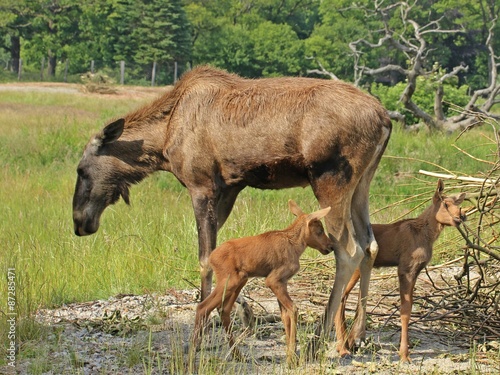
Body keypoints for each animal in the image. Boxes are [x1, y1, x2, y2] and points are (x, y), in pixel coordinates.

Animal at [193, 201, 334, 366]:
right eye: (320, 230)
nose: (330, 246)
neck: (297, 246)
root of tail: (211, 258)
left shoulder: (282, 282)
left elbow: (285, 316)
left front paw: (289, 355)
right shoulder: (273, 279)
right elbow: (293, 309)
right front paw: (291, 359)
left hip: (240, 279)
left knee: (223, 310)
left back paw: (238, 355)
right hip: (230, 280)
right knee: (203, 307)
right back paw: (193, 353)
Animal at [334, 181, 466, 362]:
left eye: (457, 204)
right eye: (445, 204)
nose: (461, 216)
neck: (428, 235)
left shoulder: (416, 270)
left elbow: (409, 306)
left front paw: (407, 346)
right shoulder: (405, 268)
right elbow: (405, 310)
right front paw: (404, 354)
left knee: (341, 297)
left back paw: (346, 344)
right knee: (340, 296)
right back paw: (343, 348)